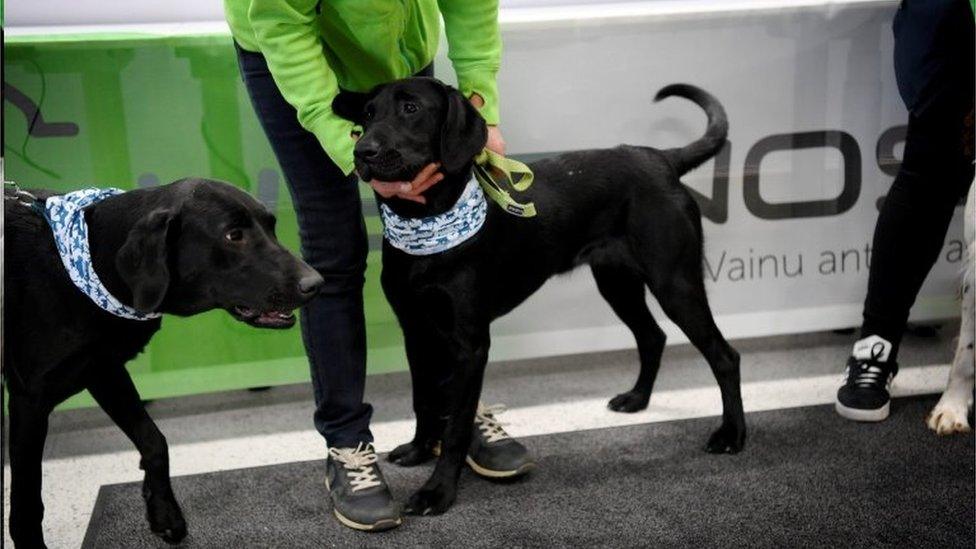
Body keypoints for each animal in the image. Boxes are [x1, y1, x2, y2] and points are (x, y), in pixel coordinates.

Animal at [4, 178, 324, 544]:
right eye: (233, 235)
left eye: (271, 226)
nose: (316, 283)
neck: (90, 264)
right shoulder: (29, 402)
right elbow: (27, 505)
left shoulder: (104, 369)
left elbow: (154, 440)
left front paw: (163, 511)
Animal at [336, 77, 748, 512]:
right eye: (367, 114)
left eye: (411, 109)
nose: (362, 152)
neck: (426, 226)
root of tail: (661, 159)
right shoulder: (416, 332)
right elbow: (425, 400)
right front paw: (418, 450)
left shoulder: (469, 344)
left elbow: (457, 425)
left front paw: (438, 490)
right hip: (617, 283)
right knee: (653, 336)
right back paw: (637, 399)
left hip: (675, 283)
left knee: (724, 356)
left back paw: (731, 435)